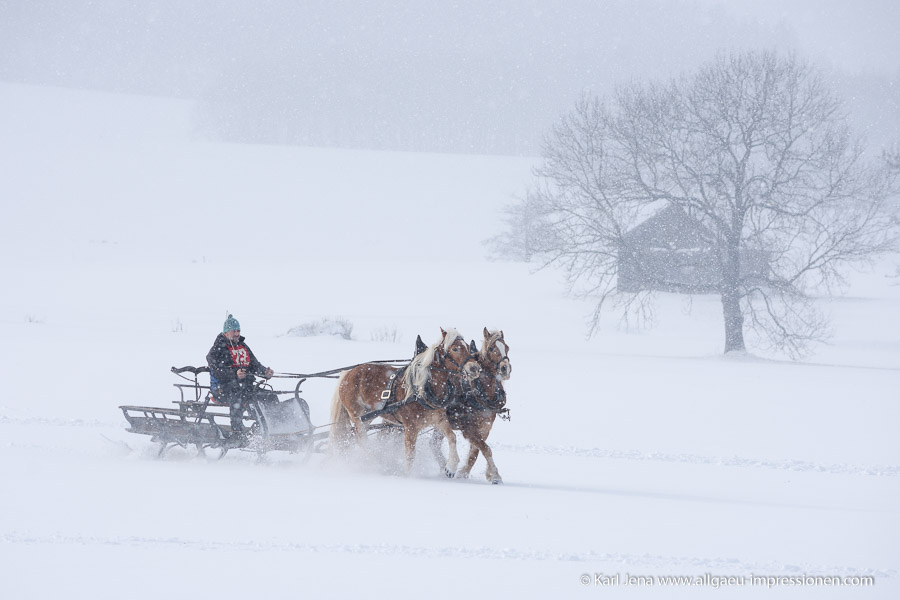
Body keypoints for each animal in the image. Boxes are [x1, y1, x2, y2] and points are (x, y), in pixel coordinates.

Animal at [330, 326, 482, 476]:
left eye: (468, 346)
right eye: (455, 348)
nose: (475, 368)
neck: (423, 389)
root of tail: (347, 374)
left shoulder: (438, 419)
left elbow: (452, 437)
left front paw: (451, 467)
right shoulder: (410, 427)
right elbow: (410, 455)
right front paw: (407, 475)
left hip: (368, 416)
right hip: (357, 415)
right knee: (362, 440)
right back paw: (377, 463)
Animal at [432, 328, 510, 482]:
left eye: (507, 348)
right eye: (492, 348)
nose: (505, 369)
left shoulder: (485, 428)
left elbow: (476, 452)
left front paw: (463, 473)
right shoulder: (468, 430)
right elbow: (486, 449)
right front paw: (495, 475)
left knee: (434, 444)